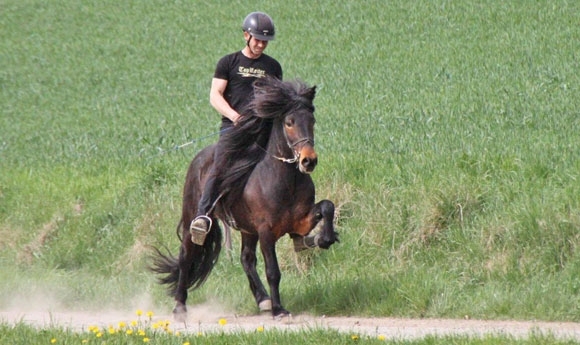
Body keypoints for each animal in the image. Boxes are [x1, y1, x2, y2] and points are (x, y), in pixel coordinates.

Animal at [151, 76, 340, 318]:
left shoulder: (299, 222)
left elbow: (327, 206)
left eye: (312, 121)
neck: (284, 180)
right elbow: (273, 271)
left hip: (247, 230)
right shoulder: (266, 231)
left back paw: (263, 300)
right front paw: (279, 310)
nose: (309, 161)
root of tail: (199, 158)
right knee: (186, 255)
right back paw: (180, 307)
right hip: (193, 216)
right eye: (289, 122)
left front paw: (324, 238)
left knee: (246, 259)